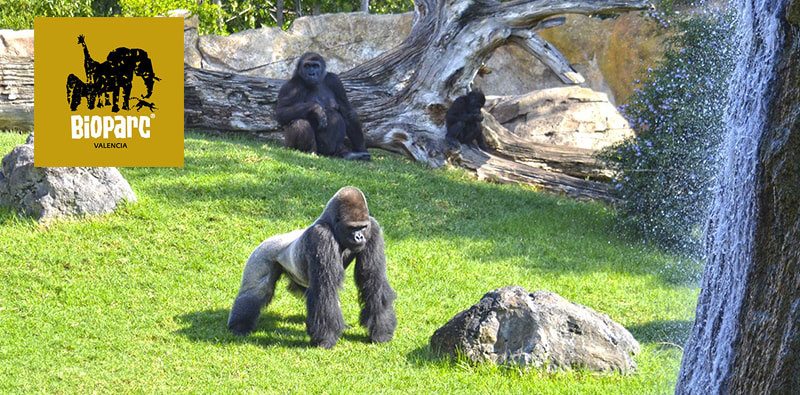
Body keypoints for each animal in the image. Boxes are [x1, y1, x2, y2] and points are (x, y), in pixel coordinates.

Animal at [227, 187, 396, 348]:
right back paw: (239, 325)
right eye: (352, 228)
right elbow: (325, 289)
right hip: (262, 253)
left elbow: (372, 279)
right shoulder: (322, 236)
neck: (332, 225)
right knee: (256, 290)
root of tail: (270, 239)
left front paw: (381, 332)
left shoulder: (373, 228)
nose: (359, 237)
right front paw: (326, 339)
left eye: (362, 227)